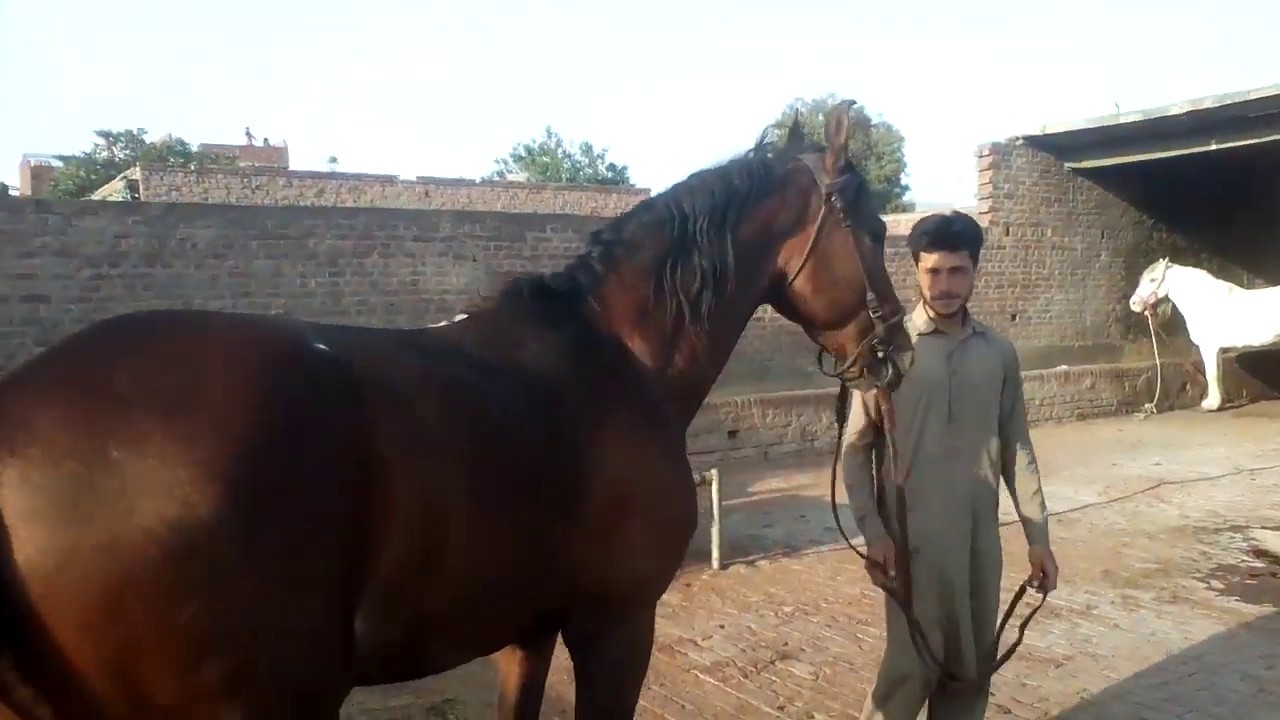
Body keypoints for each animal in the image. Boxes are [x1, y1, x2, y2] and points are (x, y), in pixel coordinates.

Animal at [1128, 256, 1280, 411]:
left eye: (1153, 279)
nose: (1133, 303)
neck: (1204, 302)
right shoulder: (1216, 349)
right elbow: (1217, 373)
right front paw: (1219, 402)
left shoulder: (1209, 347)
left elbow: (1211, 374)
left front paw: (1210, 405)